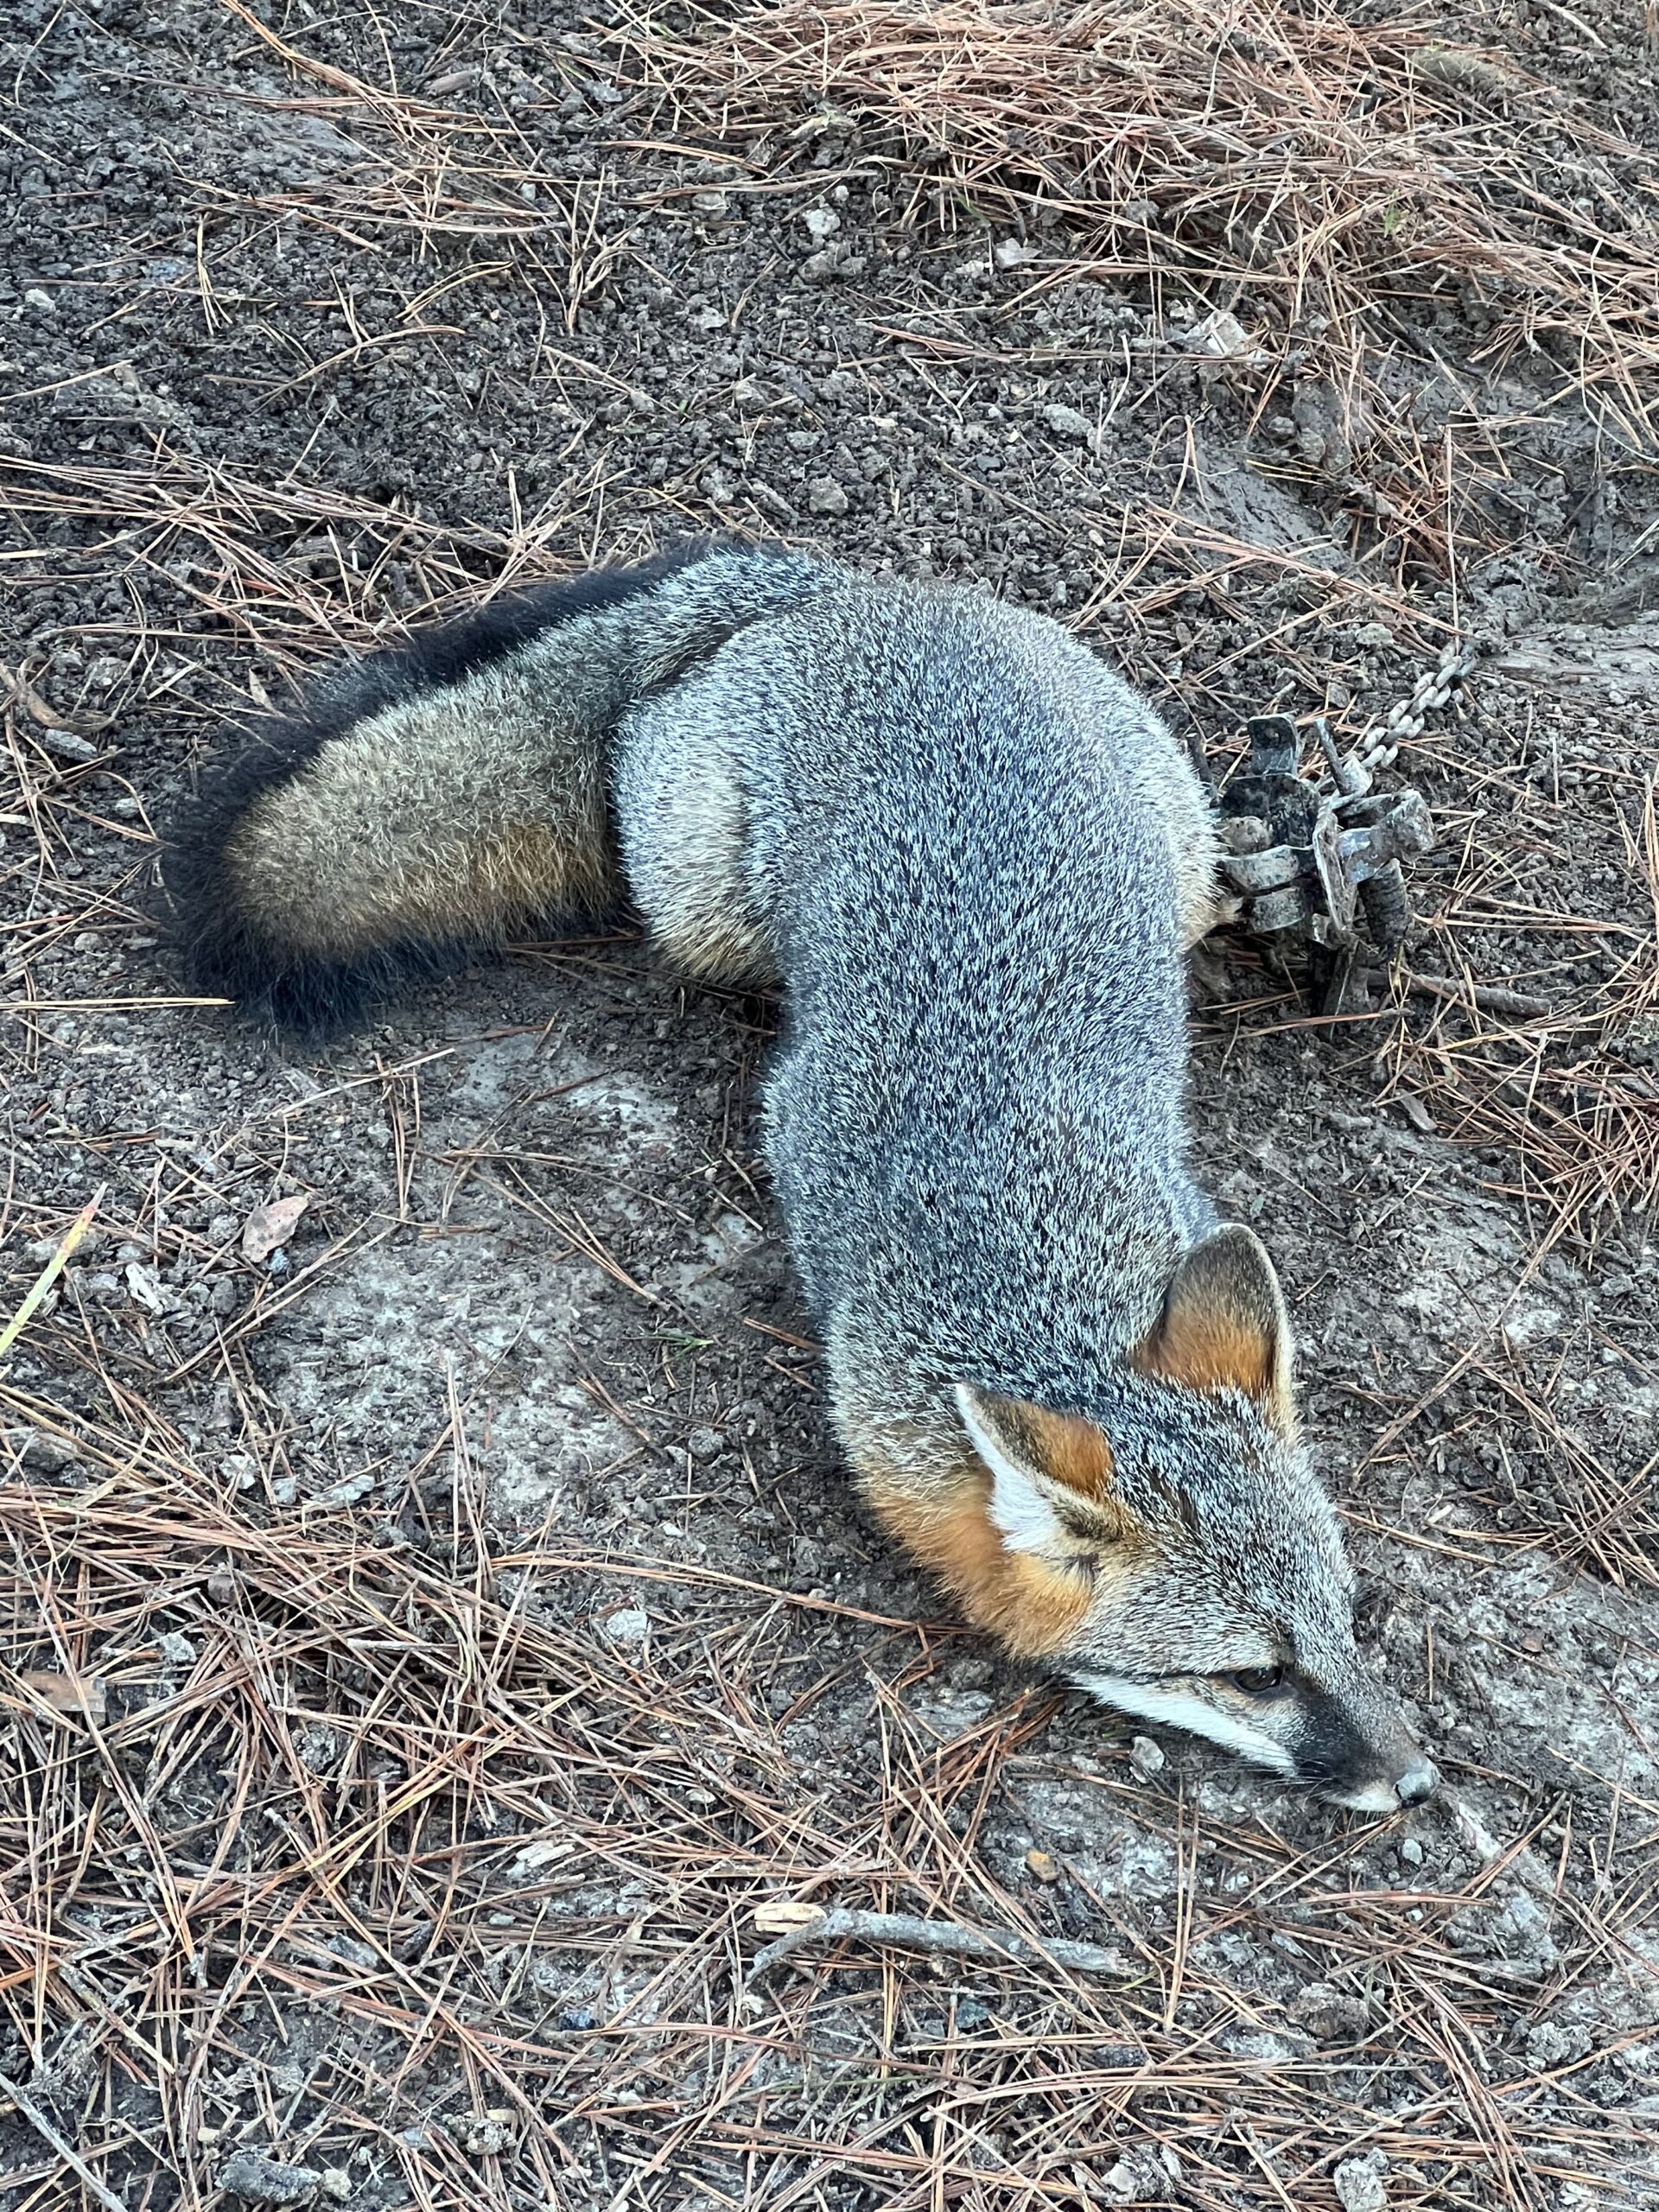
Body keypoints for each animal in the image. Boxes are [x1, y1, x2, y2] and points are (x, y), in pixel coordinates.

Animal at [167, 539, 1438, 1813]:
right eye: (1257, 1675)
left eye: (1349, 1615)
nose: (1418, 1780)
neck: (1039, 1255)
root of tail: (829, 590)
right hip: (701, 908)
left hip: (1169, 841)